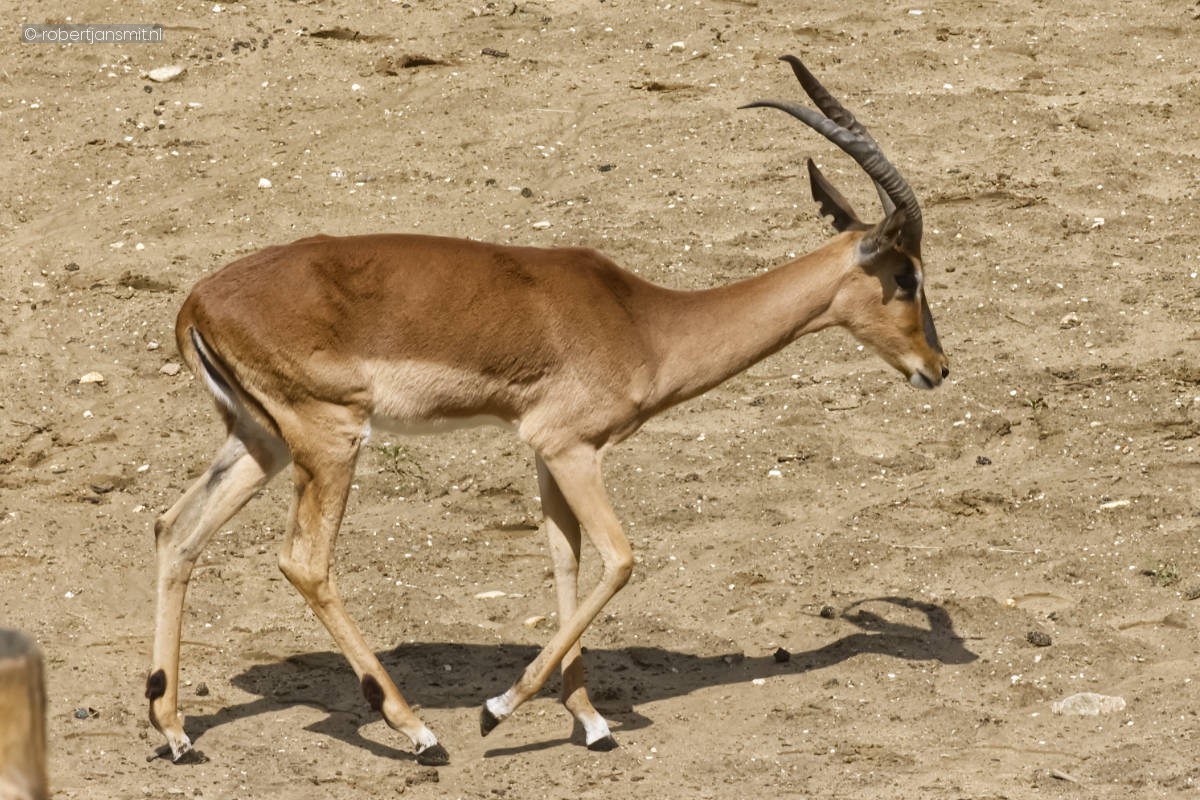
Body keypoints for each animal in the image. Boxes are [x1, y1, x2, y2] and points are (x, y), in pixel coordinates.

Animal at [147, 55, 948, 767]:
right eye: (906, 276)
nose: (937, 369)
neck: (643, 322)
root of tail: (196, 301)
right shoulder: (573, 449)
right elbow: (620, 559)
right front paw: (497, 709)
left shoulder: (544, 452)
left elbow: (567, 561)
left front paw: (589, 722)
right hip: (330, 440)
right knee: (304, 562)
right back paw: (420, 734)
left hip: (261, 443)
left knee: (174, 528)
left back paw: (177, 733)